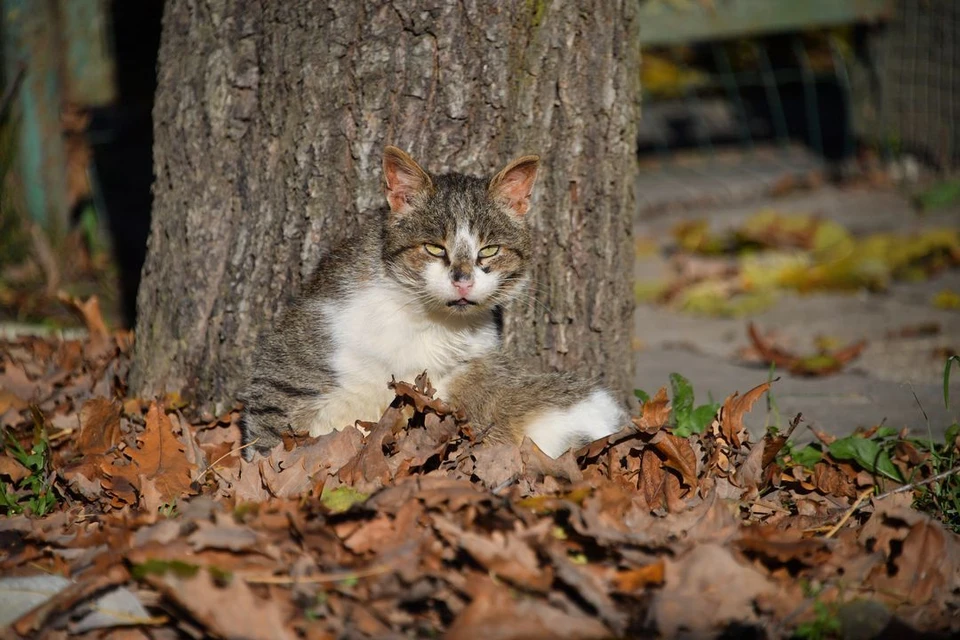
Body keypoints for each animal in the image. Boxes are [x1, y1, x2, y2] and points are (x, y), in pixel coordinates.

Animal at [240, 146, 628, 460]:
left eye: (489, 250)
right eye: (433, 248)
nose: (463, 279)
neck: (424, 321)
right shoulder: (301, 343)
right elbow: (270, 431)